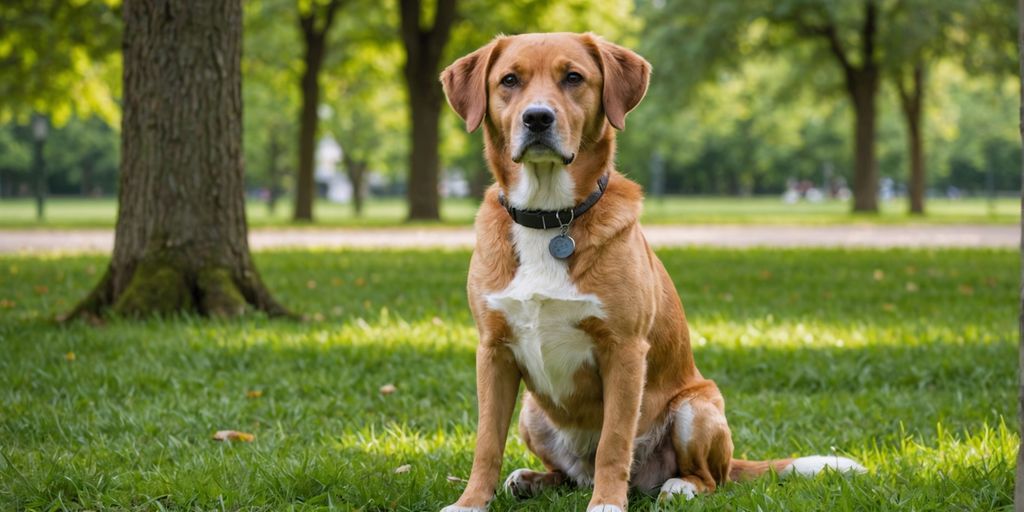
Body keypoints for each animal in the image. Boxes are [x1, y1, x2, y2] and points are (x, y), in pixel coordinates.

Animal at [436, 33, 860, 512]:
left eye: (573, 77)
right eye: (509, 80)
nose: (538, 117)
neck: (549, 218)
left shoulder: (623, 350)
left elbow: (614, 441)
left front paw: (607, 503)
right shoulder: (493, 351)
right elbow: (487, 441)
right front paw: (470, 502)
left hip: (697, 408)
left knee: (706, 478)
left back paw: (678, 486)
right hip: (531, 413)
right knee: (569, 476)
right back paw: (532, 479)